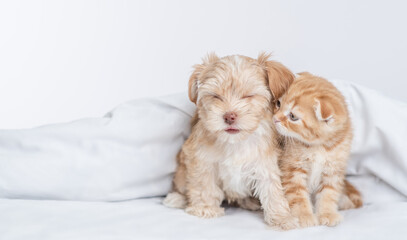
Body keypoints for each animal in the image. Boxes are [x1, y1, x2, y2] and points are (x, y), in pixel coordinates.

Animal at [163, 53, 300, 230]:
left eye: (248, 96)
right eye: (215, 96)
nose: (229, 116)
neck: (235, 142)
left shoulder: (265, 163)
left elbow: (272, 189)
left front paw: (282, 218)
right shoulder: (202, 160)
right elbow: (203, 184)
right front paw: (205, 208)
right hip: (181, 172)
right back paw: (177, 198)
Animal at [274, 72, 364, 227]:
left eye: (293, 116)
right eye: (278, 104)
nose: (274, 118)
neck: (319, 146)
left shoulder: (333, 169)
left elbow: (329, 193)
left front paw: (327, 213)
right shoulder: (292, 168)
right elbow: (297, 194)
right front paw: (304, 215)